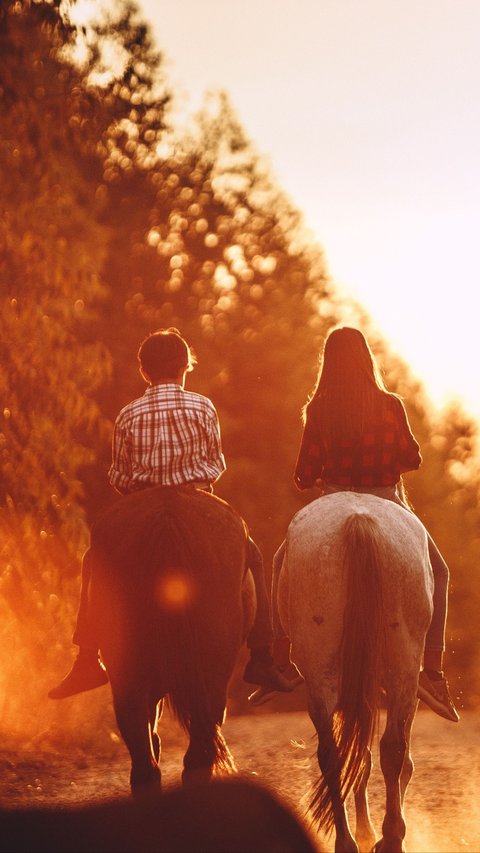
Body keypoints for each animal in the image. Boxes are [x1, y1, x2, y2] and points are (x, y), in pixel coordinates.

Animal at [276, 490, 434, 852]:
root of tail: (357, 520)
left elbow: (360, 754)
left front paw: (366, 831)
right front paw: (371, 832)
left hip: (325, 675)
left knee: (336, 754)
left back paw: (350, 840)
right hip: (402, 670)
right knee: (389, 750)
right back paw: (386, 837)